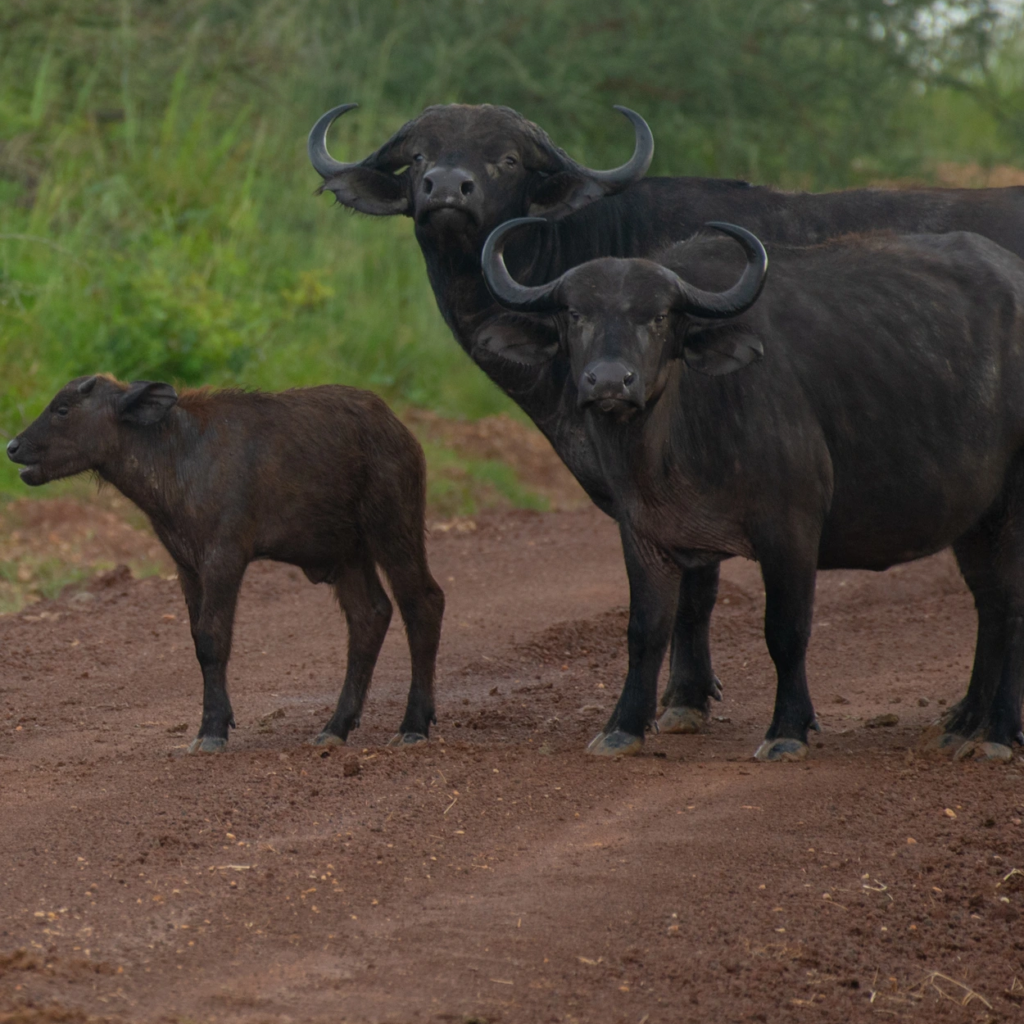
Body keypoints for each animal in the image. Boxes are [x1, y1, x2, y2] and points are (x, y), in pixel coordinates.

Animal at [6, 376, 445, 754]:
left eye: (63, 409)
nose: (12, 446)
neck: (176, 454)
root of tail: (399, 431)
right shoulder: (186, 565)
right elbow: (198, 640)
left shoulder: (225, 556)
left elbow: (213, 640)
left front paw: (212, 731)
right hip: (348, 553)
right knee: (370, 615)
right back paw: (335, 727)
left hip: (393, 528)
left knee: (424, 603)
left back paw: (413, 726)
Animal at [480, 216, 1024, 762]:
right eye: (575, 313)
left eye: (658, 317)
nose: (611, 382)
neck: (673, 437)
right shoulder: (643, 534)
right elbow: (645, 629)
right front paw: (623, 728)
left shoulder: (791, 530)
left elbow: (786, 631)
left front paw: (787, 729)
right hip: (976, 520)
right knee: (991, 604)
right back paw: (965, 722)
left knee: (1012, 607)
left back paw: (998, 734)